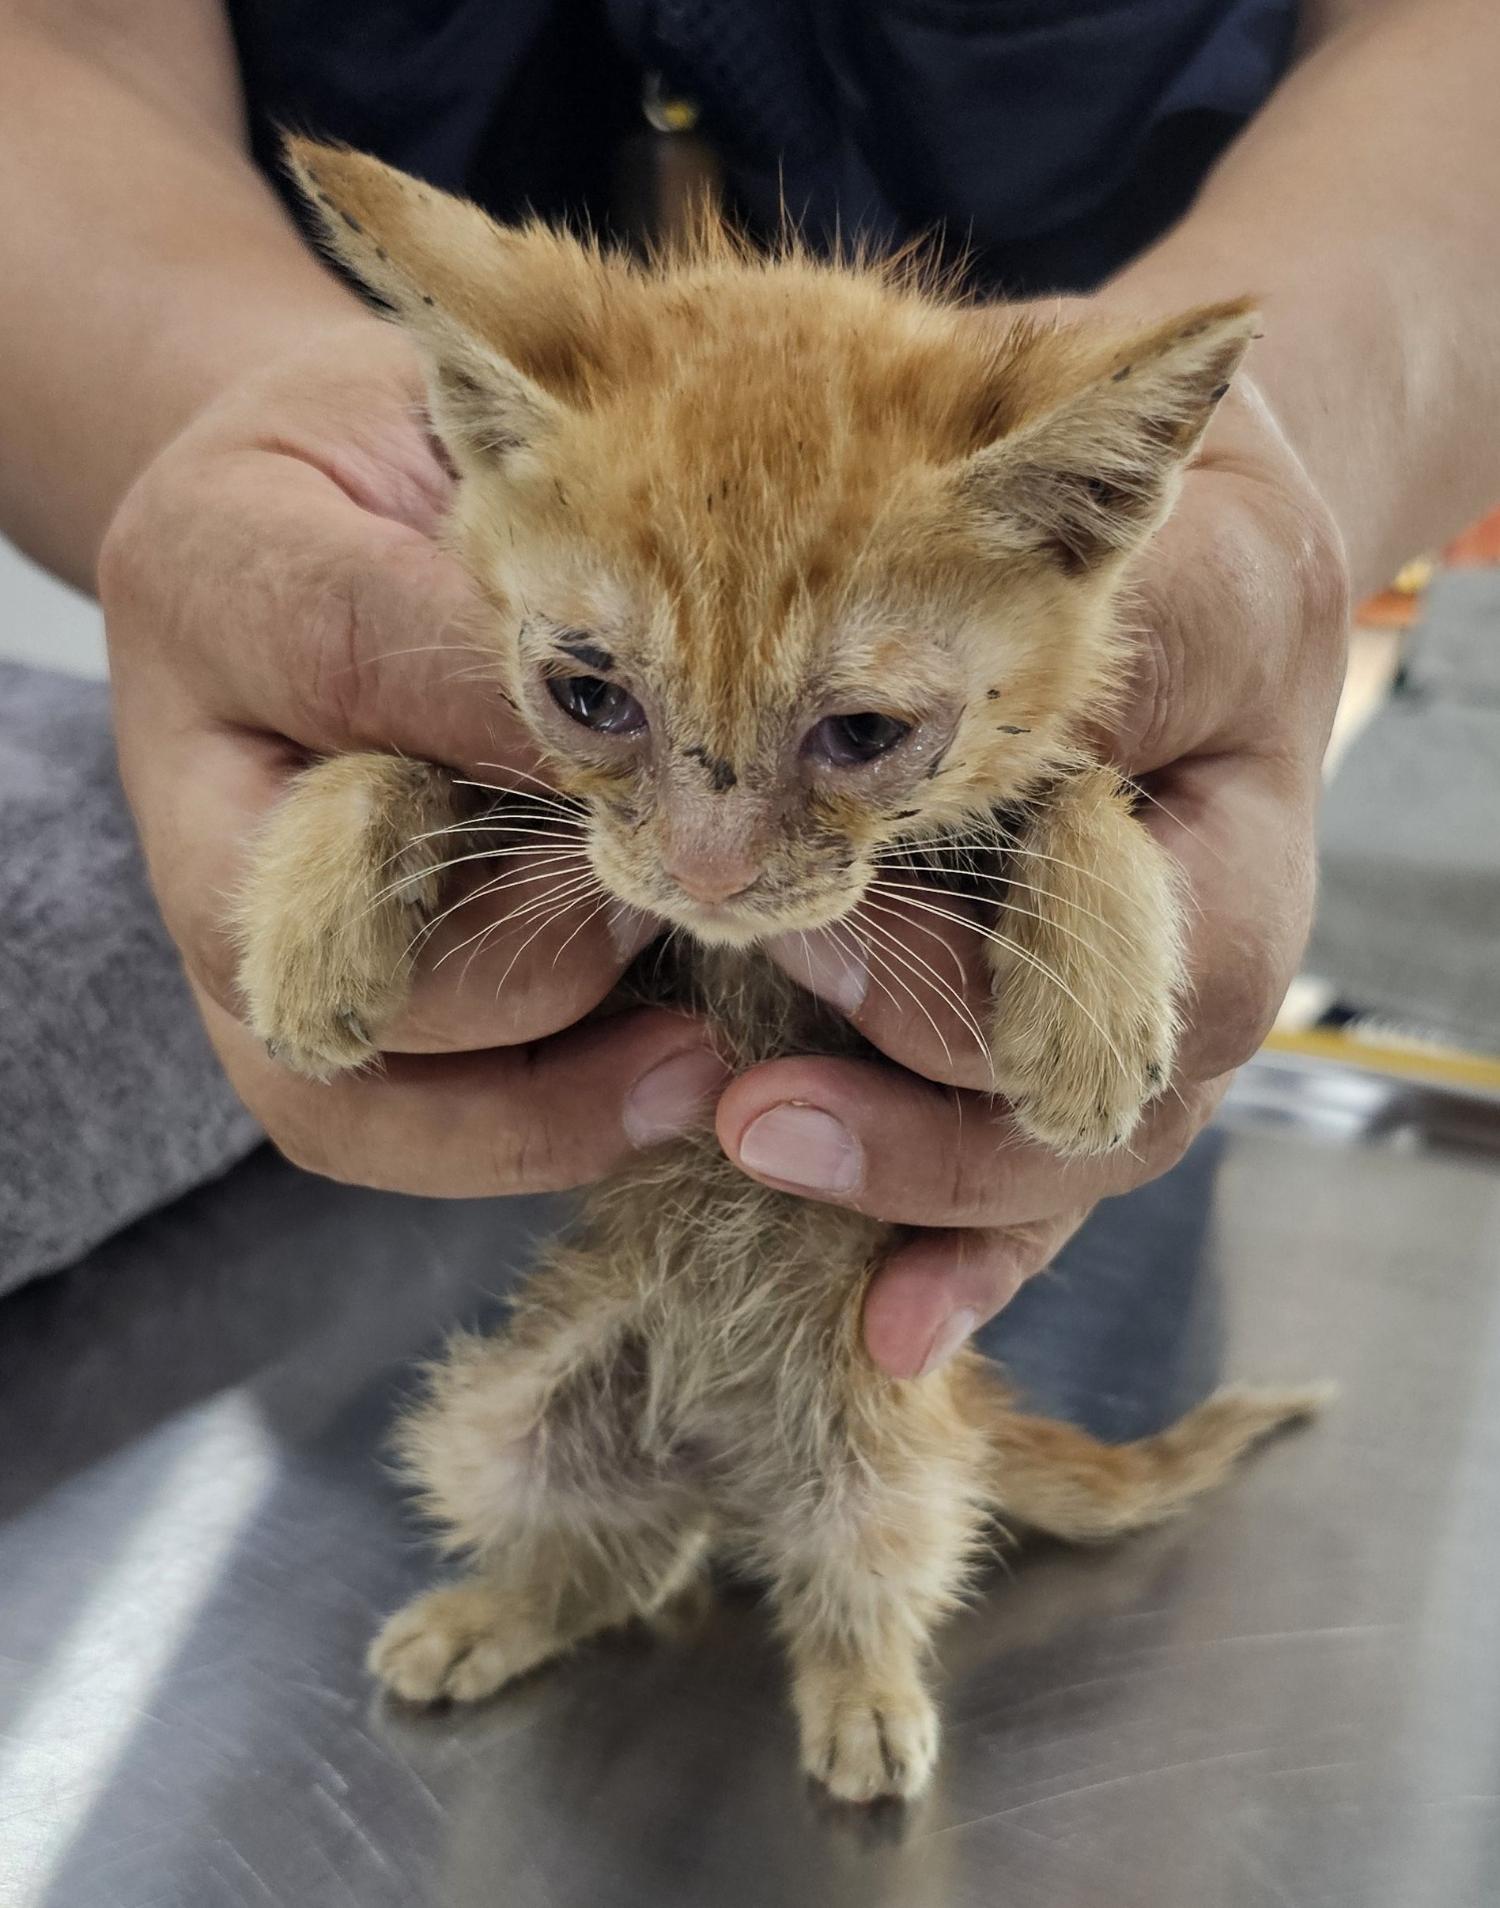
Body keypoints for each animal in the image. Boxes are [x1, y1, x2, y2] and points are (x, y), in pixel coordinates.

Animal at [233, 141, 1320, 1808]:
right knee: (614, 1555)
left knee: (850, 1581)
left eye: (864, 734)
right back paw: (500, 1611)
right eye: (589, 695)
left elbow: (1075, 785)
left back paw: (861, 1697)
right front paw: (307, 928)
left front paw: (1088, 1012)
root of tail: (723, 1472)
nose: (706, 877)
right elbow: (397, 756)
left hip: (887, 1465)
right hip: (514, 1410)